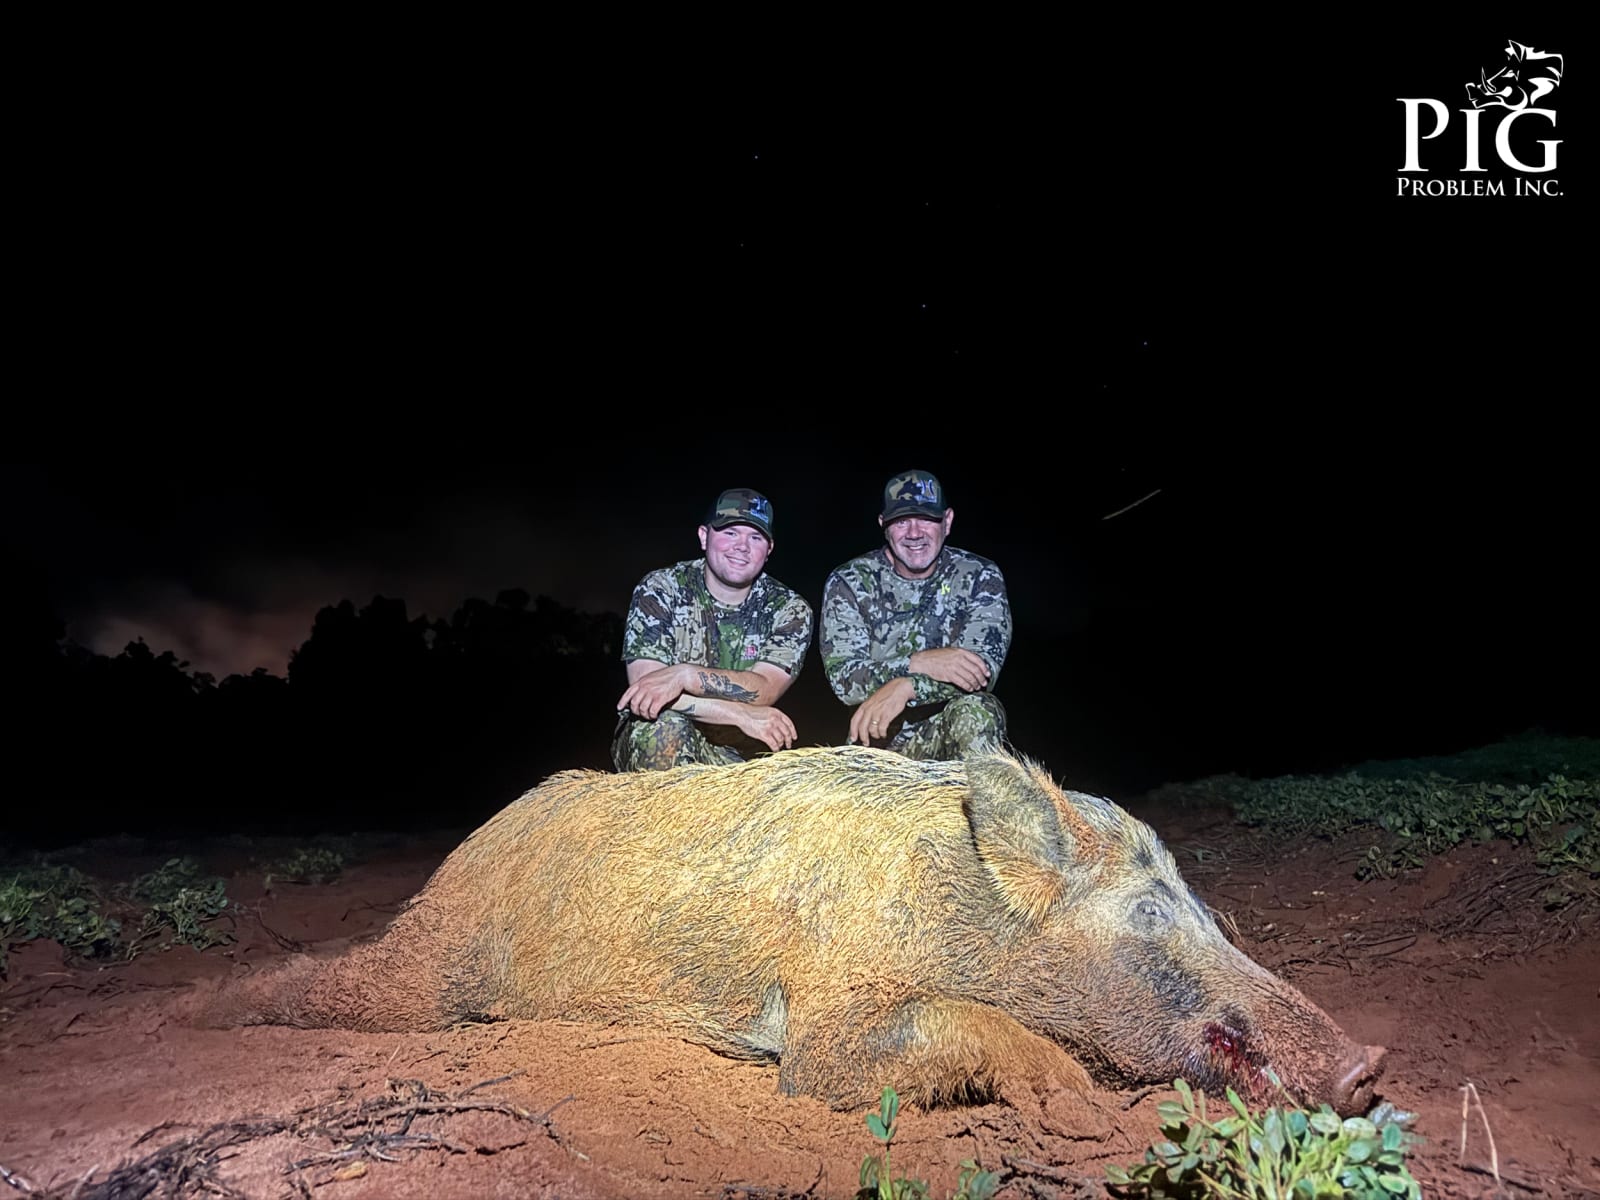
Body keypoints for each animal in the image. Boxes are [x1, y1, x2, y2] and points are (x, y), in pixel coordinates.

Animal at [202, 746, 1385, 1113]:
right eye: (1146, 913)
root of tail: (460, 863)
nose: (1369, 1064)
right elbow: (847, 1064)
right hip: (429, 971)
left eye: (1207, 910)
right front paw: (1074, 1099)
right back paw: (202, 1010)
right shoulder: (830, 1018)